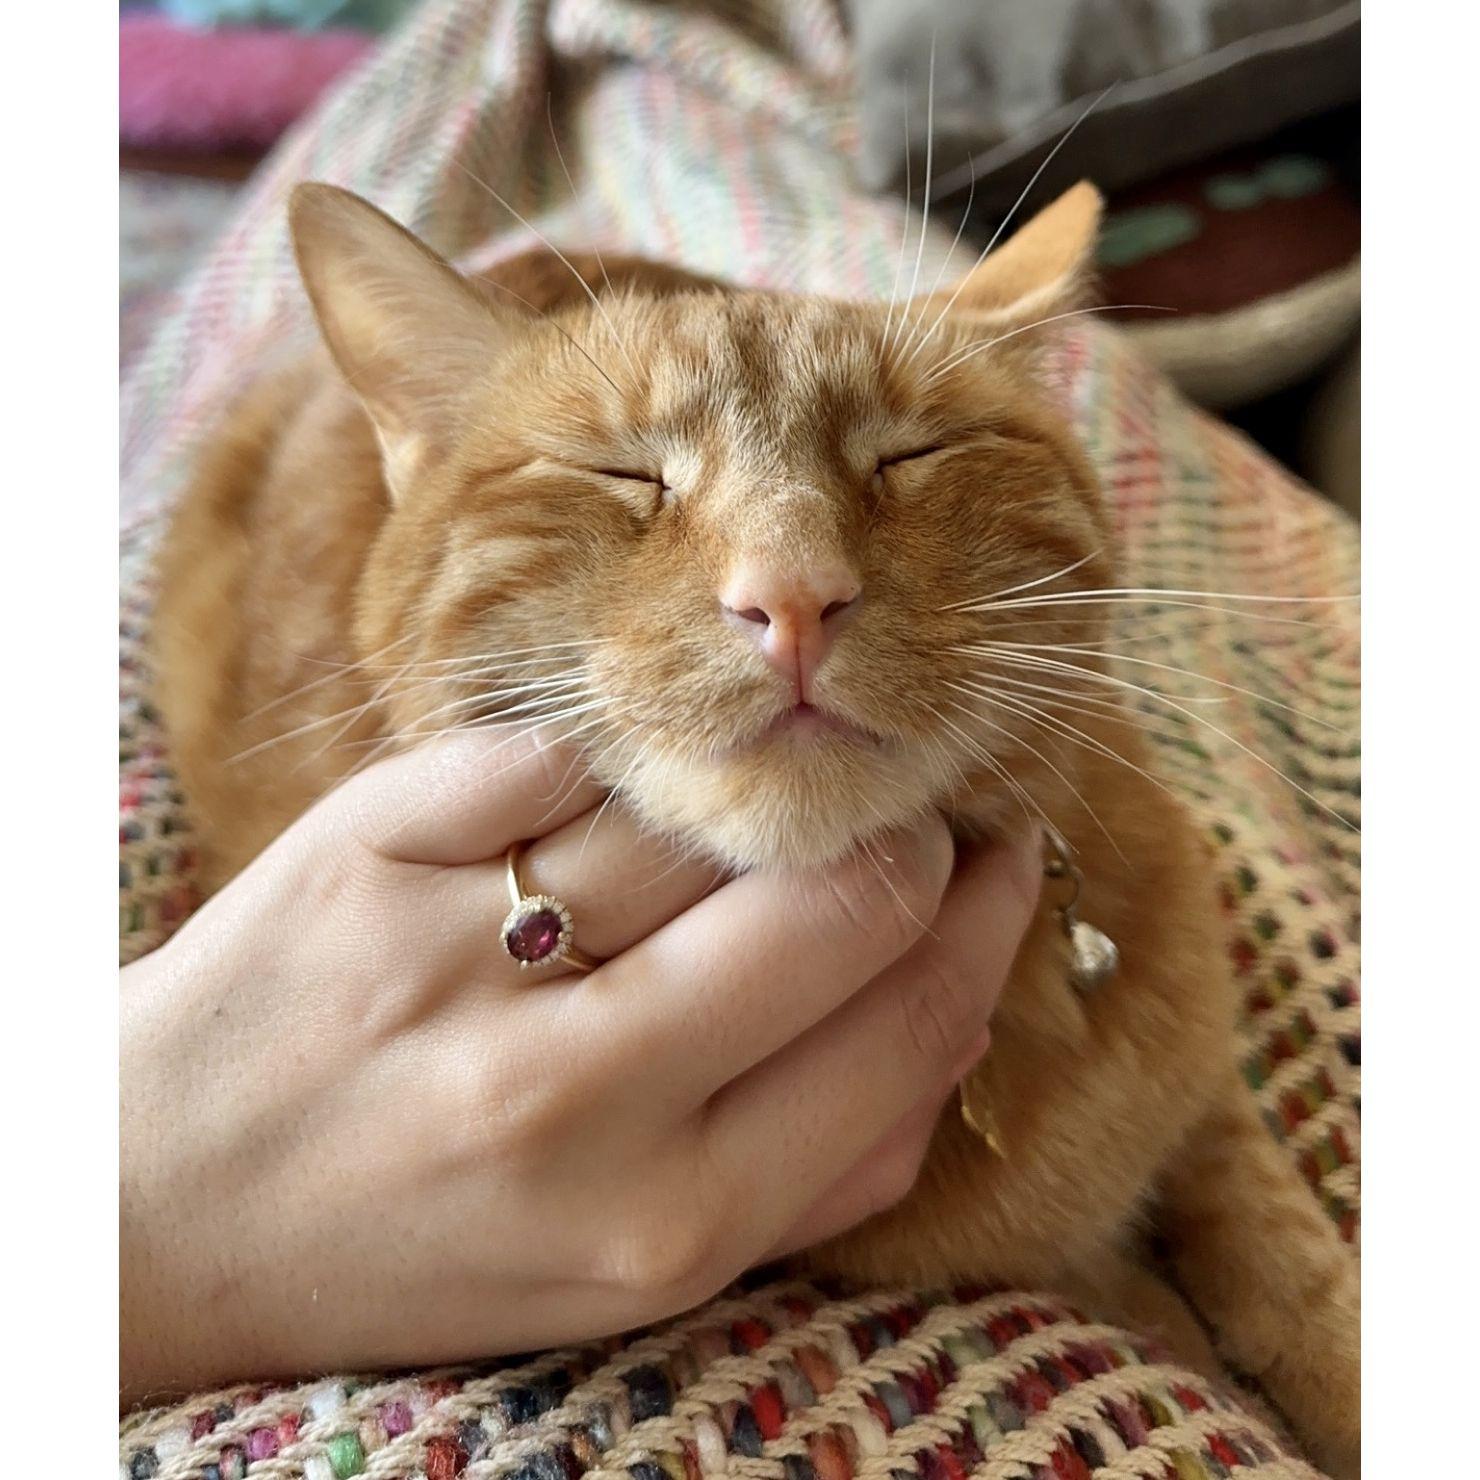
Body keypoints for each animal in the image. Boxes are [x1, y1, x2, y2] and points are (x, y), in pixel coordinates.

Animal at [152, 180, 1359, 1476]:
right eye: (626, 474)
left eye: (911, 452)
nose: (792, 595)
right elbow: (1151, 1308)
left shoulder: (1201, 1085)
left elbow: (1288, 1251)